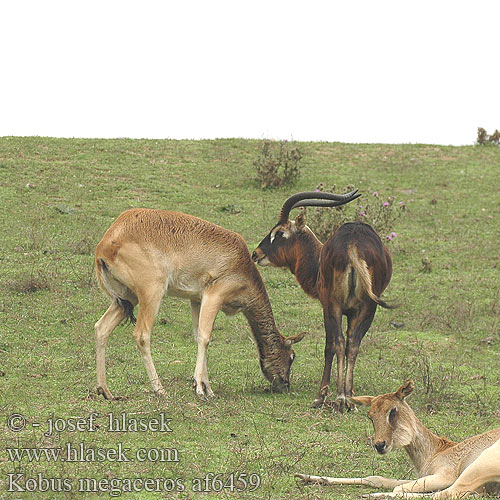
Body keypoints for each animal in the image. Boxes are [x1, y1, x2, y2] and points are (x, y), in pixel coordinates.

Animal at [93, 209, 308, 400]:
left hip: (127, 299)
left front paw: (207, 389)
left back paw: (105, 390)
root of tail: (105, 244)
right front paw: (199, 389)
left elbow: (197, 336)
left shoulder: (196, 300)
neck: (242, 263)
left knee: (101, 327)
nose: (285, 384)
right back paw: (160, 390)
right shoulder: (214, 295)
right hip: (151, 293)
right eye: (292, 356)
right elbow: (205, 337)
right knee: (141, 335)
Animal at [254, 191, 394, 410]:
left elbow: (330, 345)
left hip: (333, 306)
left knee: (337, 343)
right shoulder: (352, 312)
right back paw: (347, 398)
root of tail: (353, 244)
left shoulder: (327, 307)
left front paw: (322, 396)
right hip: (368, 308)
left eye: (279, 233)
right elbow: (350, 344)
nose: (255, 254)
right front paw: (352, 393)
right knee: (352, 343)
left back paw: (338, 398)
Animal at [294, 380, 500, 498]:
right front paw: (305, 476)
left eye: (392, 410)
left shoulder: (444, 475)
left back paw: (373, 495)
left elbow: (399, 488)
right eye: (370, 415)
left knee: (449, 492)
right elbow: (375, 477)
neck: (434, 452)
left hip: (478, 466)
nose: (379, 444)